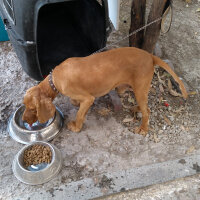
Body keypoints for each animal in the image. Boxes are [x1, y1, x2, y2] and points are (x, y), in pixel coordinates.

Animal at [22, 47, 188, 136]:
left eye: (32, 109)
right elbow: (75, 103)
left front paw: (76, 127)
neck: (54, 79)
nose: (25, 120)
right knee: (143, 105)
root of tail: (150, 56)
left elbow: (80, 114)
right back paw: (136, 109)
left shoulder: (88, 98)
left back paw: (143, 129)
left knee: (147, 111)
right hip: (131, 88)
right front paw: (75, 103)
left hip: (140, 88)